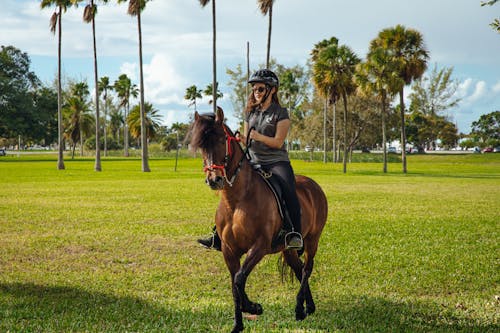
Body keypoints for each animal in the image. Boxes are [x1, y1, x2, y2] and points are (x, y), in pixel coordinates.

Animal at [190, 108, 328, 332]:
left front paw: (253, 307)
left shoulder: (260, 246)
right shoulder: (229, 250)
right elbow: (235, 284)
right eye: (201, 145)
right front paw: (238, 324)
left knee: (307, 268)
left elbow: (239, 278)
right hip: (287, 249)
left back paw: (300, 309)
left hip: (312, 239)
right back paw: (309, 307)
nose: (214, 180)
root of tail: (313, 185)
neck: (237, 200)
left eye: (221, 140)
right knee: (299, 270)